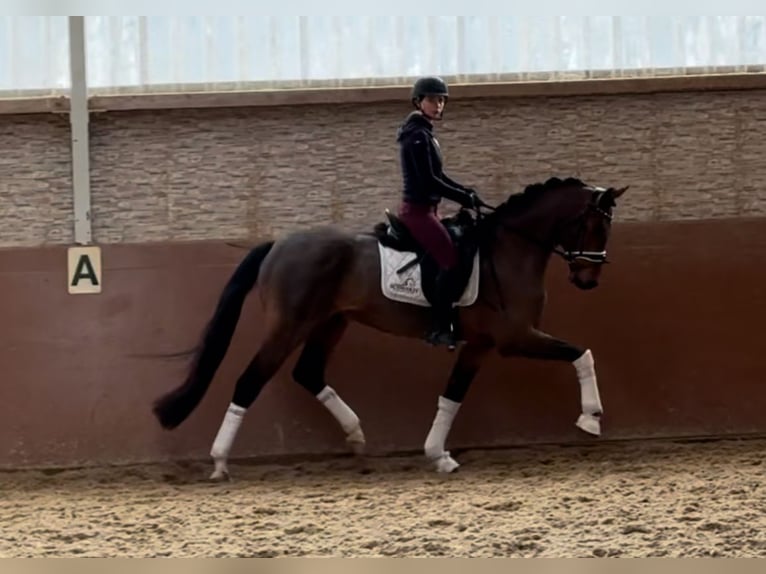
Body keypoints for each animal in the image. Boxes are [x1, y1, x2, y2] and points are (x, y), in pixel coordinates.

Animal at [152, 178, 632, 480]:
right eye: (596, 224)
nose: (588, 279)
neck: (510, 249)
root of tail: (278, 245)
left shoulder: (478, 345)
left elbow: (451, 396)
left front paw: (438, 455)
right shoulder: (515, 338)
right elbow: (582, 353)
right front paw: (590, 419)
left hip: (330, 323)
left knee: (308, 373)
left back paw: (356, 433)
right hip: (288, 326)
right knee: (249, 381)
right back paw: (219, 462)